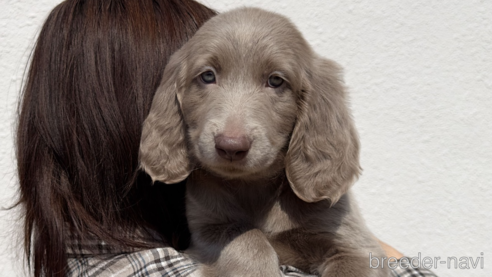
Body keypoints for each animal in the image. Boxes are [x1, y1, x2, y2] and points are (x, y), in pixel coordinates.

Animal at [140, 7, 390, 276]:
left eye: (276, 81)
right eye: (207, 76)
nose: (230, 146)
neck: (254, 186)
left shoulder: (355, 244)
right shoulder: (208, 227)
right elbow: (247, 237)